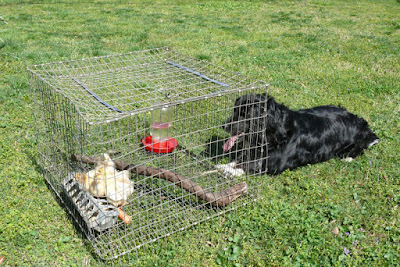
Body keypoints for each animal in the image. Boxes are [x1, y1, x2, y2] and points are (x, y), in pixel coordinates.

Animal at [223, 94, 380, 176]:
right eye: (234, 111)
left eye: (244, 114)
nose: (224, 125)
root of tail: (362, 123)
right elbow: (240, 159)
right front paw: (224, 165)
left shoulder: (274, 164)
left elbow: (246, 167)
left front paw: (226, 170)